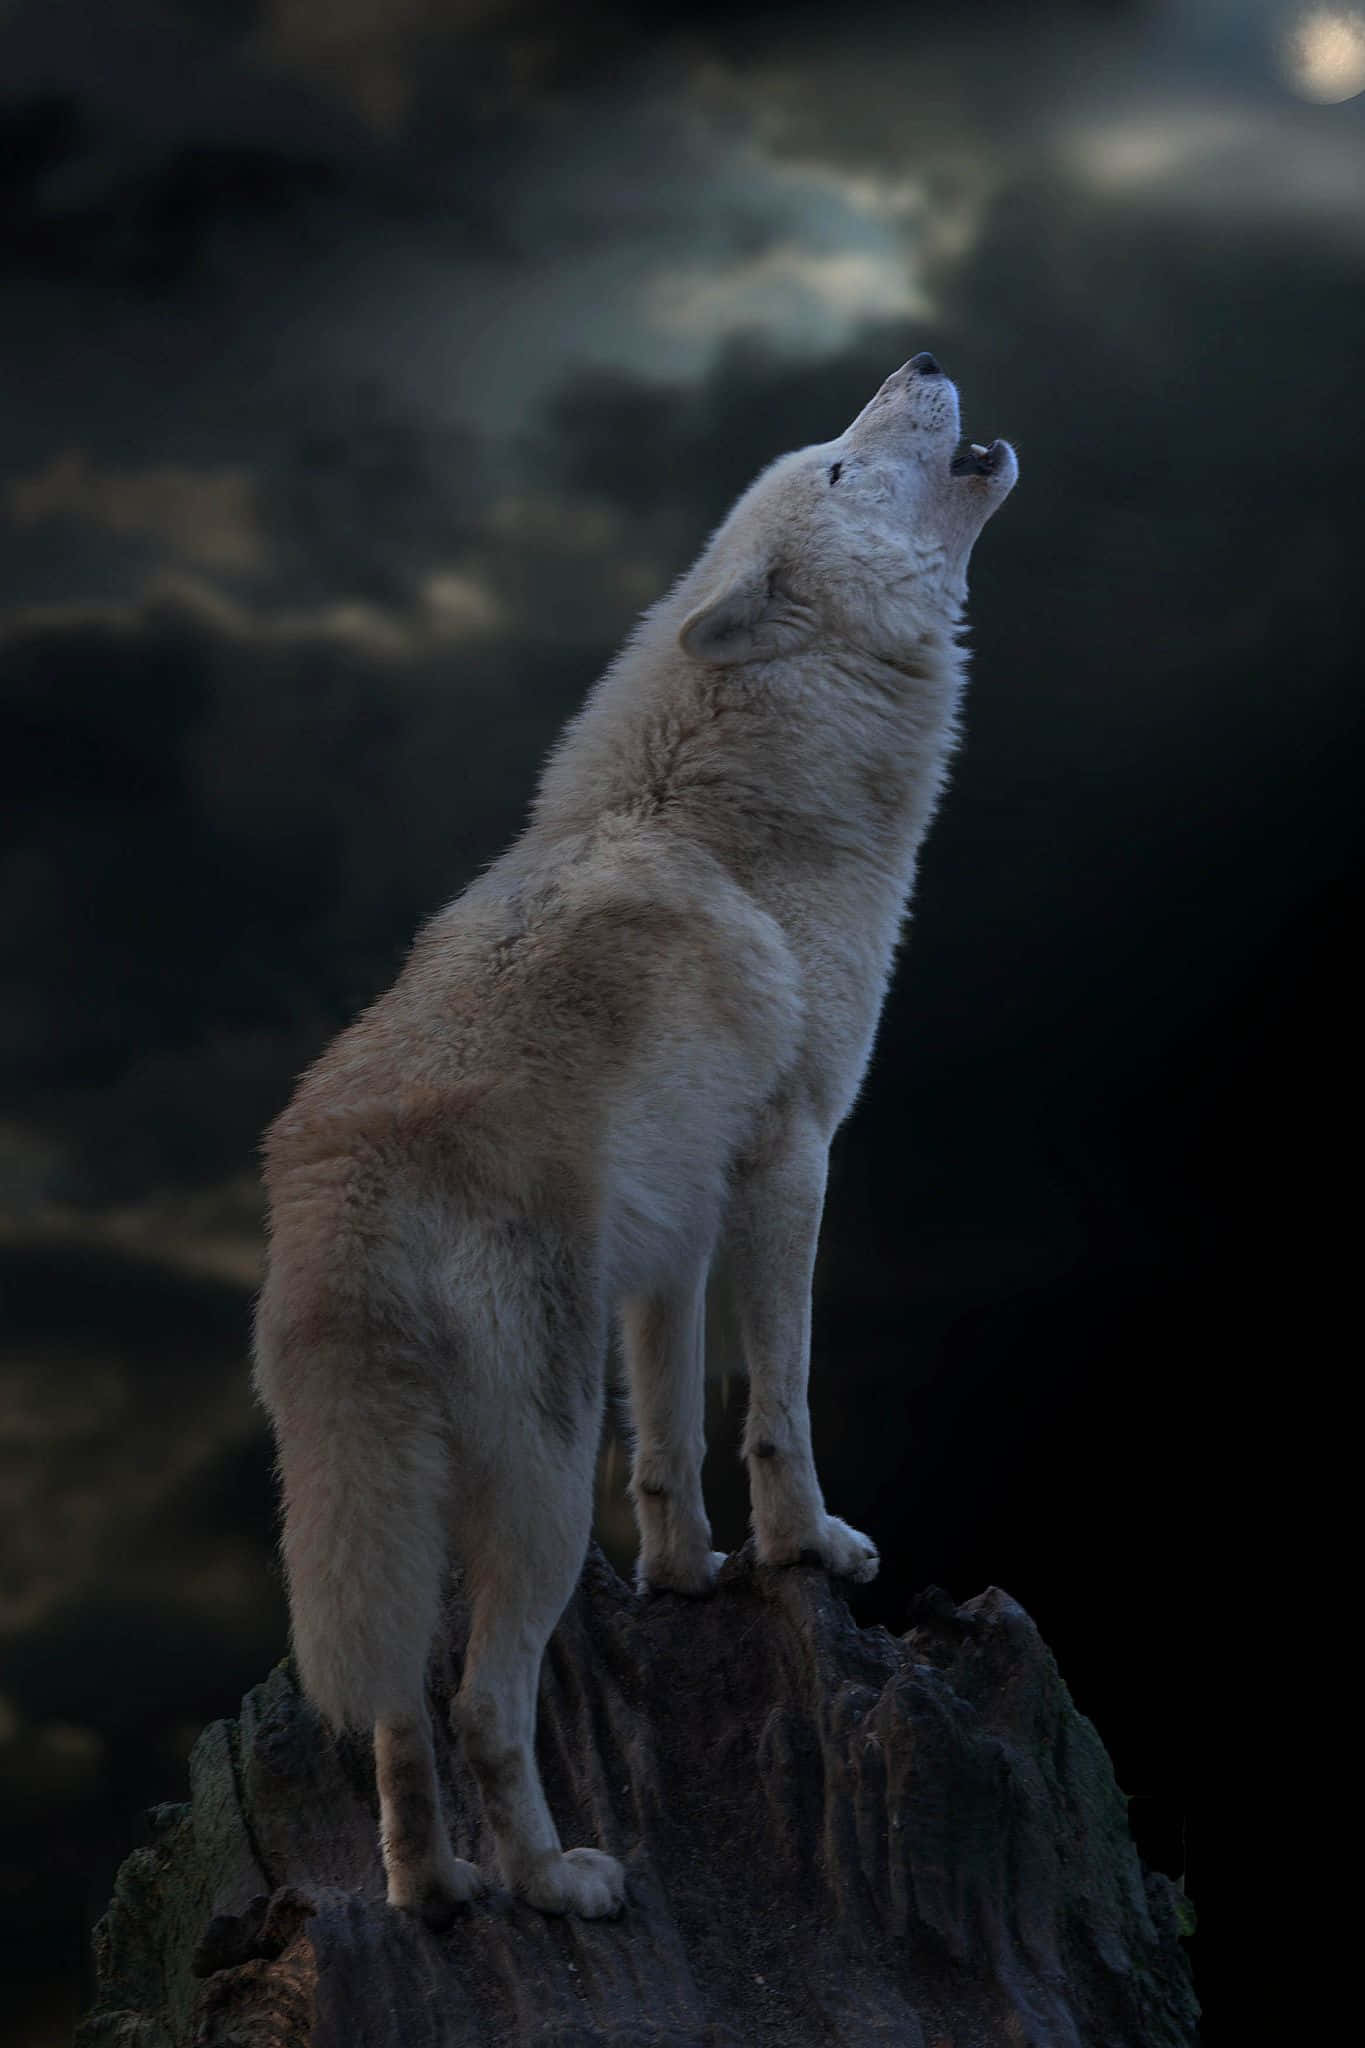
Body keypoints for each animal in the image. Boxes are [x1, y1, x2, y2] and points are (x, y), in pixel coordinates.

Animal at [253, 353, 1017, 1926]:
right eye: (835, 464)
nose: (914, 362)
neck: (734, 826)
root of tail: (348, 1185)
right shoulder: (791, 1157)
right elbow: (778, 1400)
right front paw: (804, 1551)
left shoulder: (670, 1229)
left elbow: (665, 1427)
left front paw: (683, 1569)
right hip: (536, 1500)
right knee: (484, 1705)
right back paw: (557, 1882)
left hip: (393, 1516)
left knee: (395, 1712)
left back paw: (437, 1891)